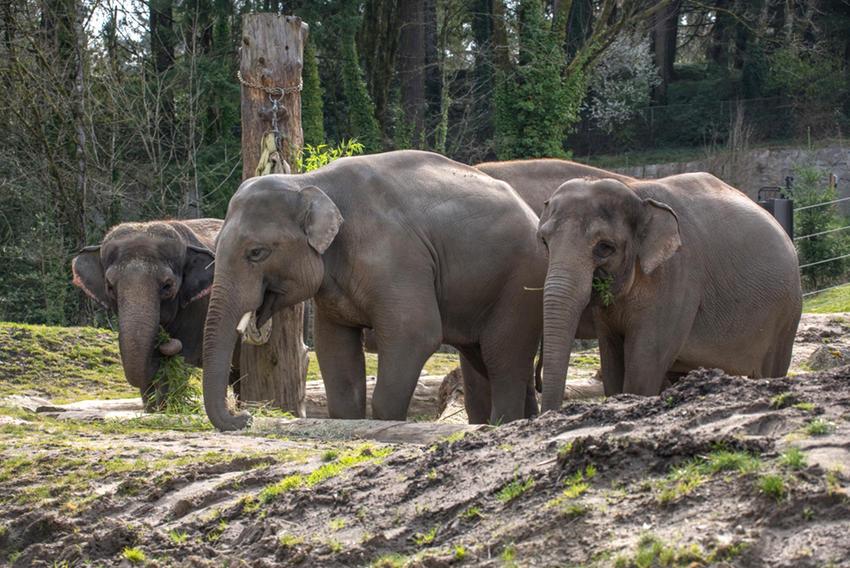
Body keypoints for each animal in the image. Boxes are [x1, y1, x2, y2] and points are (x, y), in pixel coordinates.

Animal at [71, 219, 240, 408]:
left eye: (167, 286)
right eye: (110, 287)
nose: (164, 341)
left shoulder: (199, 308)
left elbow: (181, 361)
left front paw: (165, 407)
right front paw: (151, 408)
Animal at [200, 151, 544, 430]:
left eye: (256, 253)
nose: (246, 417)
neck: (310, 182)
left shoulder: (395, 258)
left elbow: (415, 333)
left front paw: (386, 422)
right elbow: (334, 346)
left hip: (520, 282)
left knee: (502, 356)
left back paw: (502, 422)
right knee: (482, 357)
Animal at [536, 173, 800, 408]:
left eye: (604, 247)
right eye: (544, 242)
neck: (636, 193)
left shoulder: (677, 279)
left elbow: (644, 364)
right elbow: (612, 361)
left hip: (785, 315)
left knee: (771, 368)